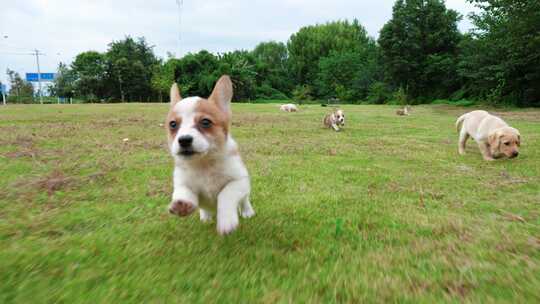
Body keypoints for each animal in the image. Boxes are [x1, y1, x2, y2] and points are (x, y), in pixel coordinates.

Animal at [166, 75, 254, 235]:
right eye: (173, 124)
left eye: (205, 122)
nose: (184, 140)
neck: (204, 163)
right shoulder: (183, 183)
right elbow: (183, 192)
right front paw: (182, 204)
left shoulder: (239, 181)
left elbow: (226, 194)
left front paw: (226, 221)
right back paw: (205, 216)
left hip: (245, 192)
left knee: (244, 200)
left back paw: (247, 212)